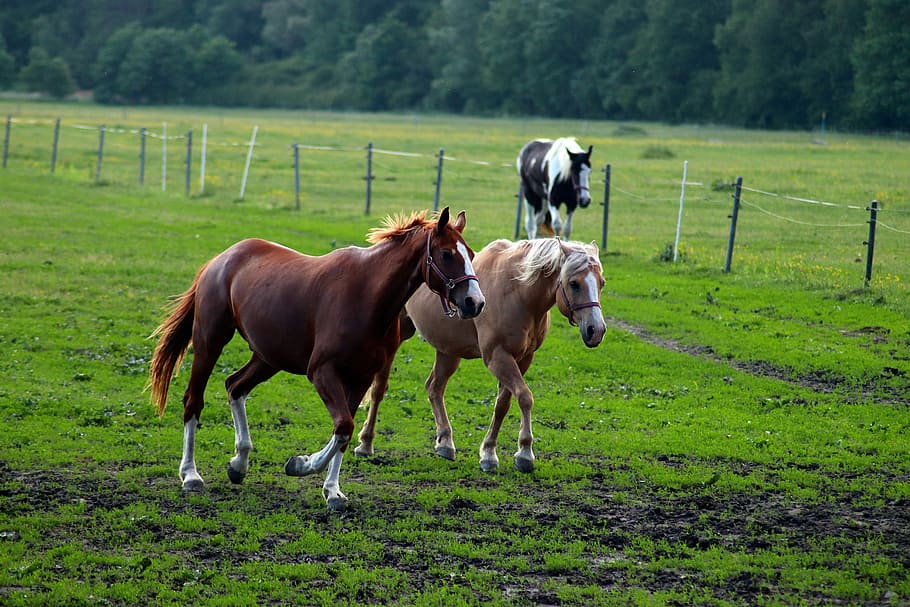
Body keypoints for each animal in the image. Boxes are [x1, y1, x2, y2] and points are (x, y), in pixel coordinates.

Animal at [147, 208, 485, 510]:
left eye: (470, 252)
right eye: (446, 254)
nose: (475, 302)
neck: (368, 296)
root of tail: (221, 259)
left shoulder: (361, 378)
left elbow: (344, 433)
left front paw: (331, 490)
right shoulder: (322, 372)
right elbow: (344, 425)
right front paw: (303, 465)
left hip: (268, 358)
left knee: (235, 386)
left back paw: (239, 462)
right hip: (210, 341)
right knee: (194, 400)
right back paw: (190, 474)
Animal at [355, 237, 606, 473]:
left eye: (601, 283)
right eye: (574, 283)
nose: (596, 330)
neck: (518, 293)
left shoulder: (522, 359)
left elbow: (503, 404)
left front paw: (489, 452)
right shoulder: (498, 357)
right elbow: (525, 397)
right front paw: (524, 453)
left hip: (448, 351)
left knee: (434, 387)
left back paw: (445, 442)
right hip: (396, 340)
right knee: (379, 389)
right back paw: (366, 443)